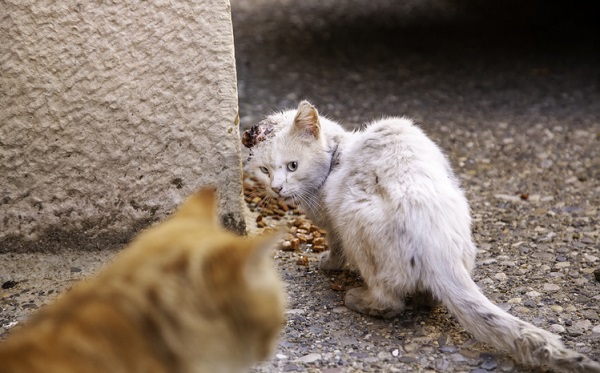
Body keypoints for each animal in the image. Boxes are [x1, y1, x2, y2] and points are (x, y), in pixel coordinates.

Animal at [243, 100, 600, 370]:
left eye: (292, 166)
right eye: (265, 170)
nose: (277, 188)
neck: (336, 155)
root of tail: (438, 250)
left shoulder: (333, 224)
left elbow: (336, 248)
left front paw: (328, 263)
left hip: (354, 219)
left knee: (390, 302)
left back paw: (357, 299)